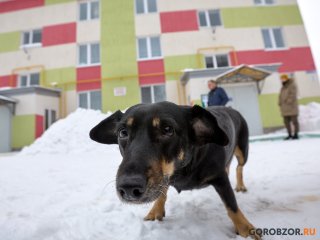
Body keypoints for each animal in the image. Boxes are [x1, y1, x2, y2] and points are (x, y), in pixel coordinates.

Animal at [89, 101, 260, 240]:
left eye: (167, 129)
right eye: (122, 132)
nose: (129, 188)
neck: (184, 167)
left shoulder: (220, 178)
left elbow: (231, 205)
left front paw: (245, 228)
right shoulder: (164, 178)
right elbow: (161, 191)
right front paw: (156, 211)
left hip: (243, 152)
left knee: (239, 167)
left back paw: (240, 185)